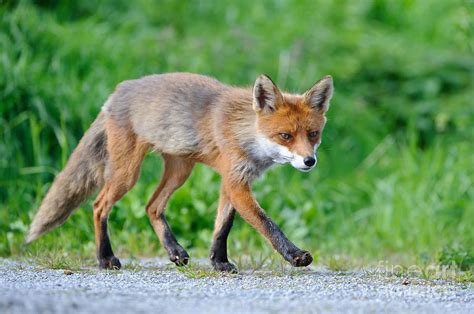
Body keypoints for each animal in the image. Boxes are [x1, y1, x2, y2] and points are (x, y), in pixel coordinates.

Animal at [25, 73, 334, 272]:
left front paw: (219, 262)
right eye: (285, 136)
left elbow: (223, 226)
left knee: (151, 206)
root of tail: (118, 91)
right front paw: (295, 255)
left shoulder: (232, 180)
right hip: (127, 173)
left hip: (180, 170)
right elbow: (267, 224)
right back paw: (105, 259)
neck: (245, 132)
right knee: (100, 205)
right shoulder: (236, 181)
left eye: (313, 134)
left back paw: (175, 252)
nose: (309, 161)